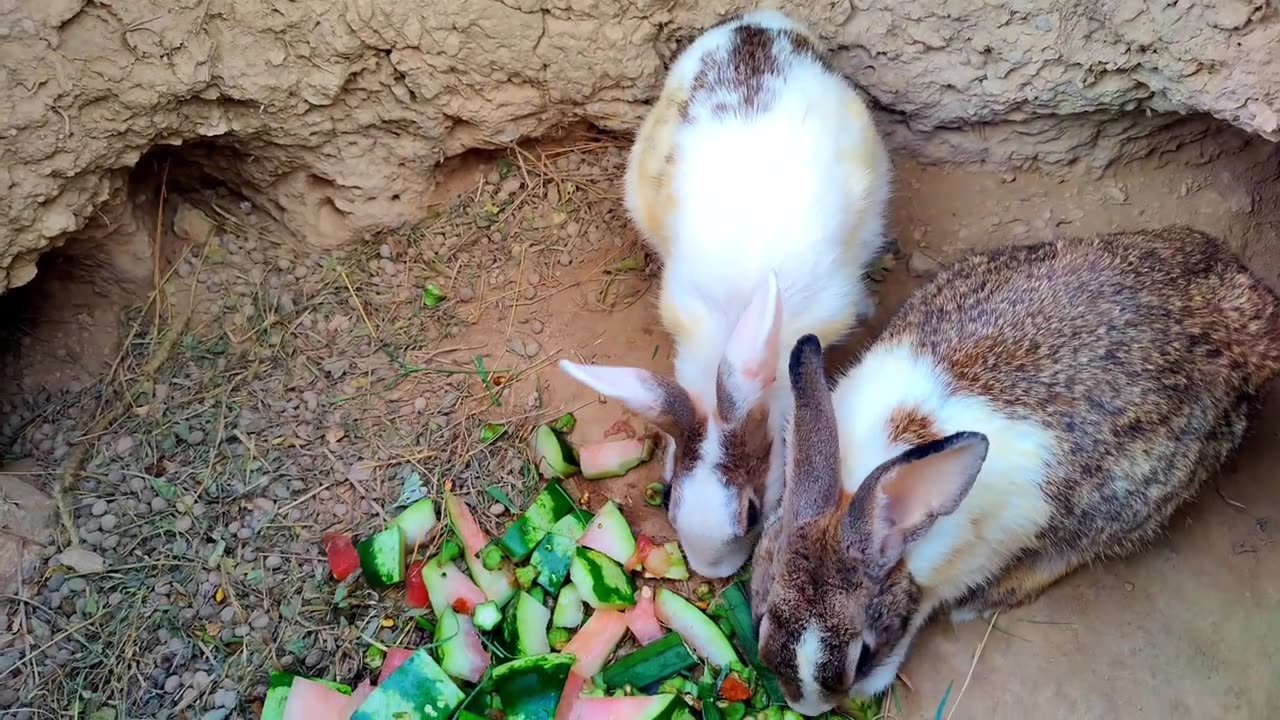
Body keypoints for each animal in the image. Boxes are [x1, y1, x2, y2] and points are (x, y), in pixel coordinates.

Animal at [747, 225, 1280, 712]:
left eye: (862, 656)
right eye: (761, 618)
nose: (806, 708)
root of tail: (1247, 320)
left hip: (1127, 499)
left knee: (1070, 554)